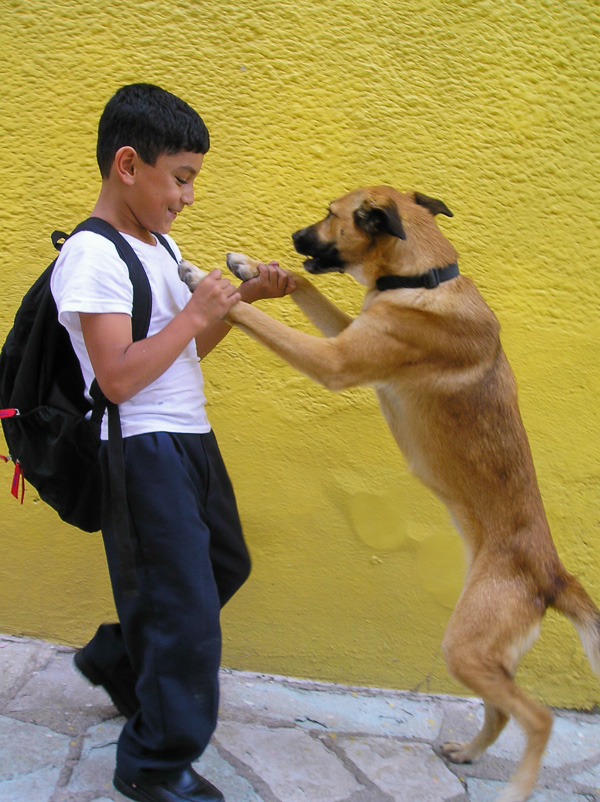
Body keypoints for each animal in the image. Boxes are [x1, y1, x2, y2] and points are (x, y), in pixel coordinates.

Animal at [178, 186, 600, 800]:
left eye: (330, 215)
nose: (294, 237)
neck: (421, 279)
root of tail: (554, 574)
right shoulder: (347, 335)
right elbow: (302, 284)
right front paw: (251, 268)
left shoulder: (334, 361)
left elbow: (250, 311)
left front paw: (202, 280)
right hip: (481, 649)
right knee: (503, 709)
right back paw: (467, 752)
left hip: (465, 647)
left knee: (538, 717)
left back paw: (515, 787)